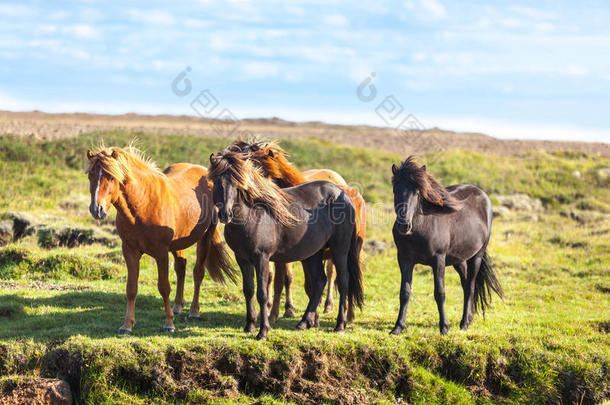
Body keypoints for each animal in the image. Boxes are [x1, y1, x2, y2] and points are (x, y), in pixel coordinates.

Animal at [84, 145, 236, 334]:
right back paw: (178, 306)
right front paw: (127, 325)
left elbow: (164, 287)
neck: (143, 204)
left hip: (205, 237)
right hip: (178, 244)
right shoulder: (130, 251)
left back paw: (194, 311)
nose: (96, 209)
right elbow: (131, 289)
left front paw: (169, 323)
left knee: (198, 273)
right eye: (90, 175)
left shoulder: (161, 253)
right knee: (181, 266)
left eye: (111, 176)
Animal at [207, 150, 364, 340]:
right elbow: (248, 290)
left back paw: (340, 325)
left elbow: (262, 294)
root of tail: (345, 195)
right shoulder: (242, 259)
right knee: (320, 281)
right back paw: (304, 323)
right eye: (216, 181)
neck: (251, 217)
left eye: (237, 182)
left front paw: (263, 331)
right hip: (314, 253)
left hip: (339, 249)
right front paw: (249, 326)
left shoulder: (261, 258)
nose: (225, 214)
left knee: (342, 281)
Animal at [388, 157, 502, 334]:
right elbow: (404, 292)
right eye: (395, 190)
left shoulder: (438, 260)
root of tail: (483, 195)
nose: (404, 226)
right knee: (465, 284)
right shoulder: (405, 260)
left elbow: (439, 293)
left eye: (417, 192)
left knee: (470, 287)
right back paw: (468, 318)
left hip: (476, 256)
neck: (421, 227)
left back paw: (464, 323)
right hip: (459, 260)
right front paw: (398, 327)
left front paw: (444, 327)